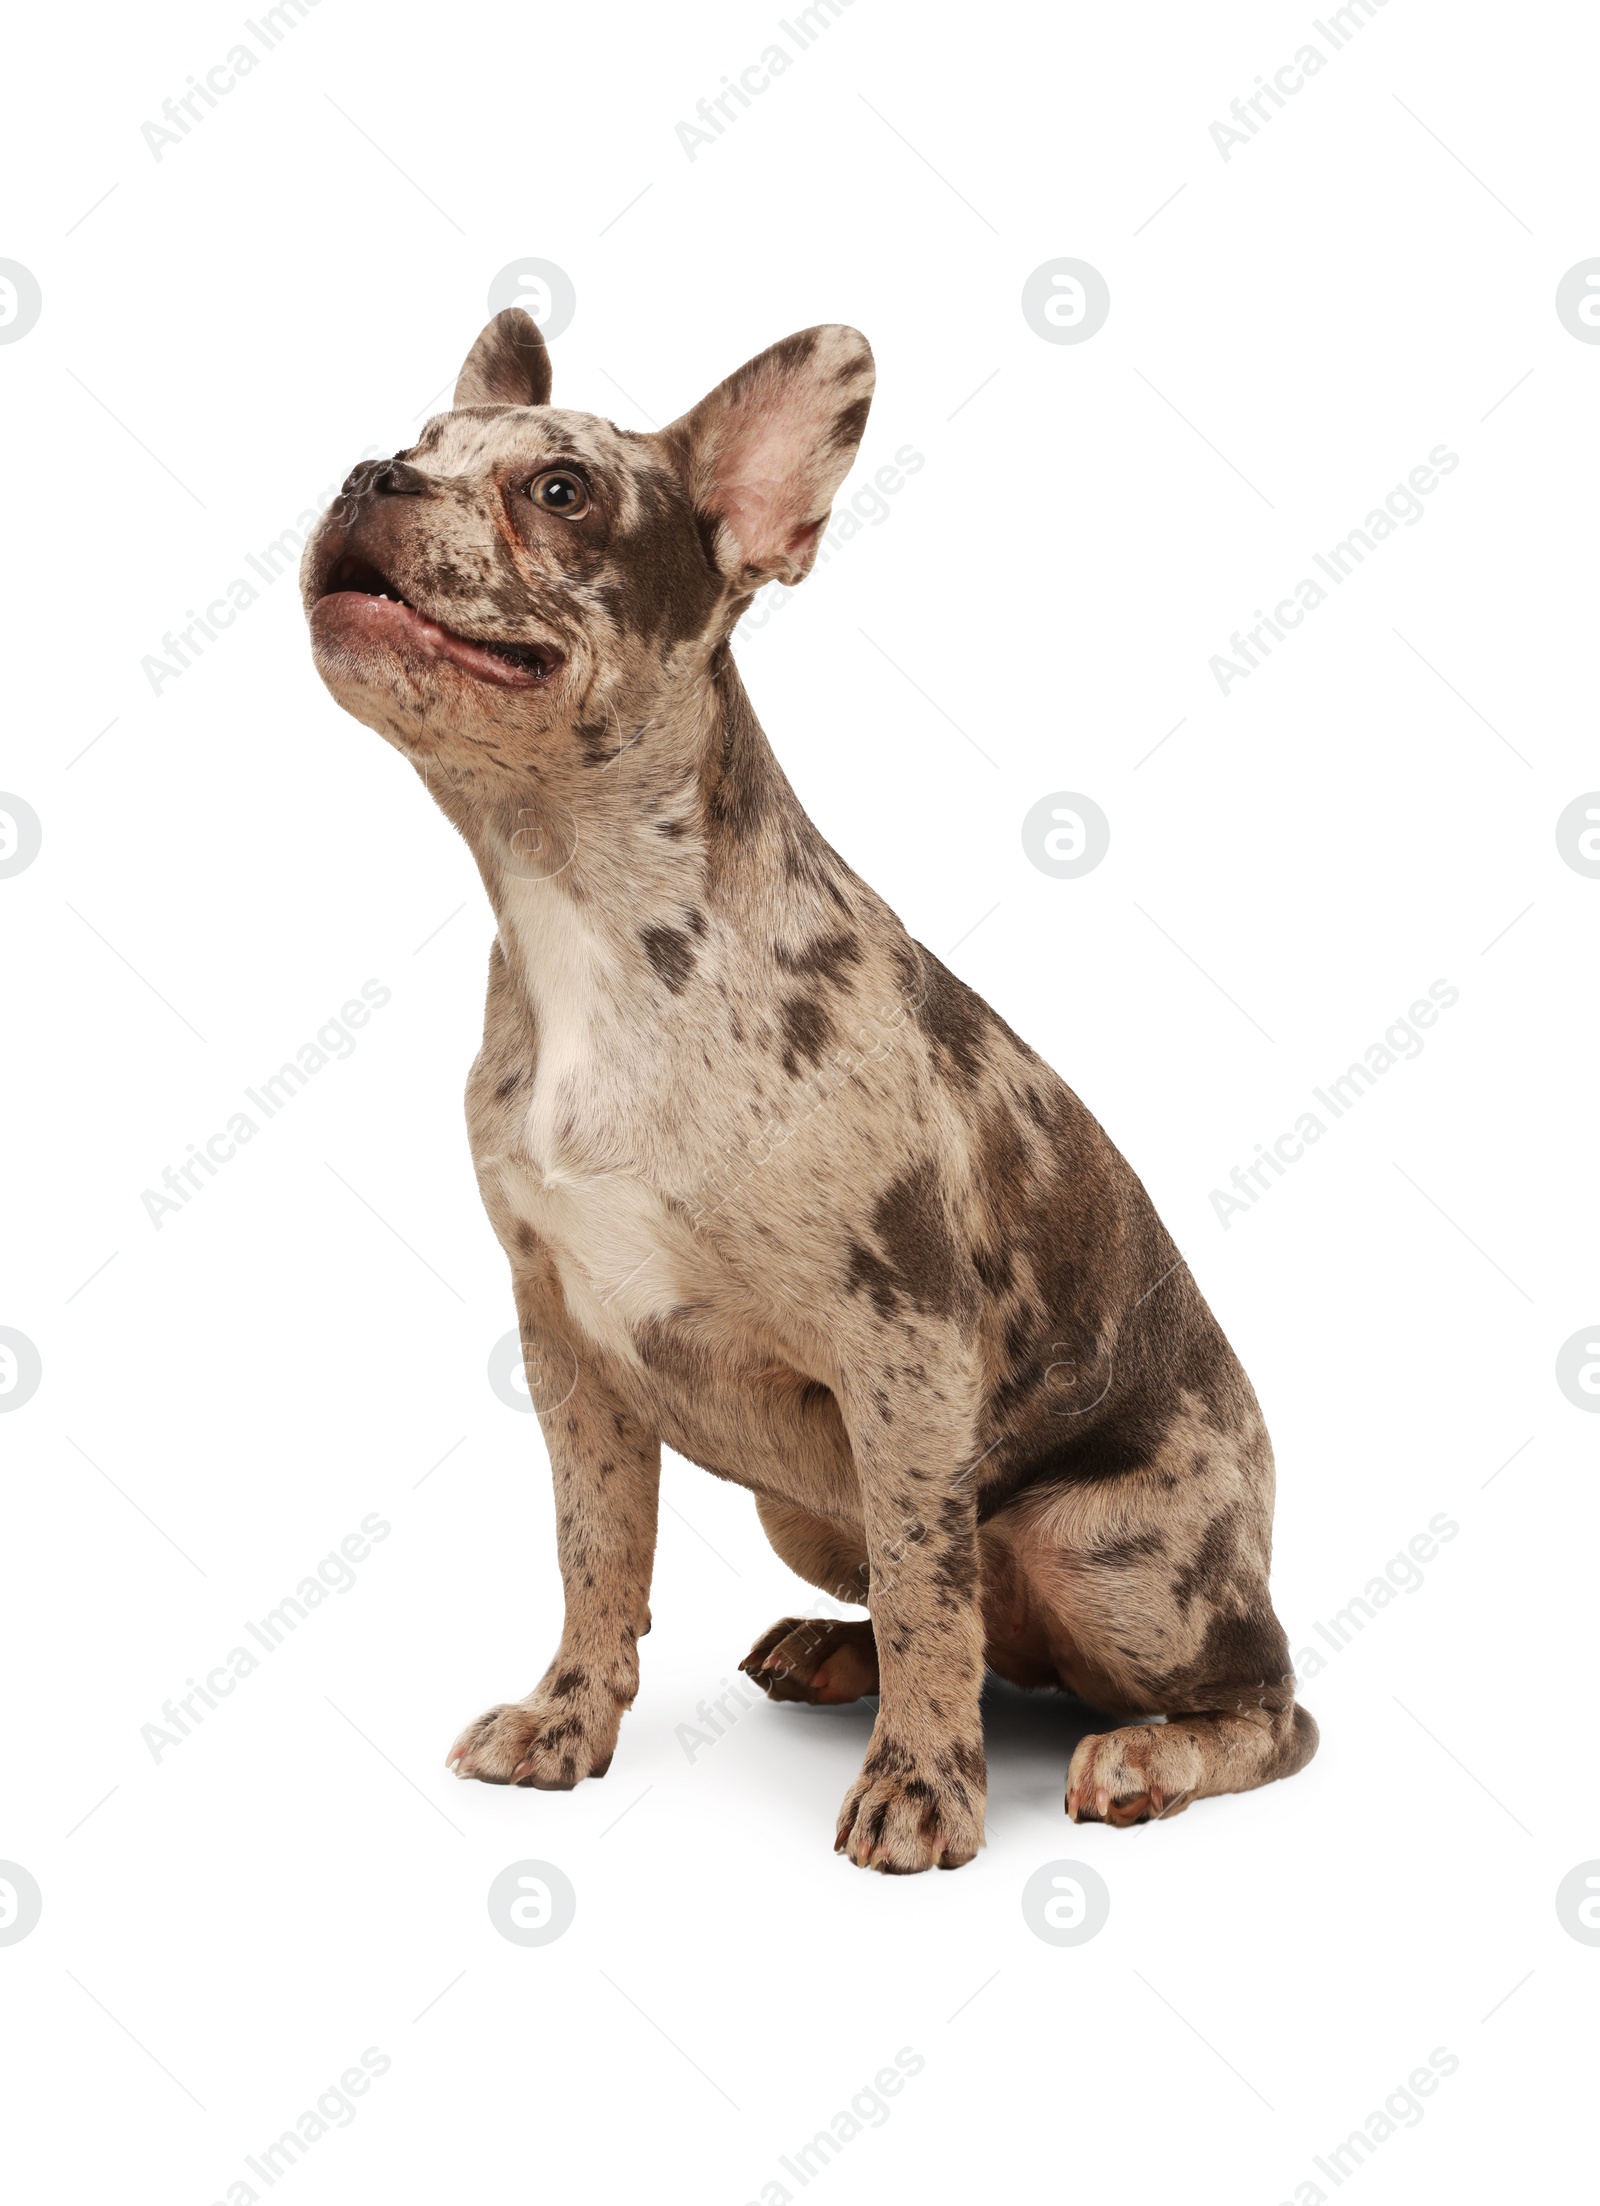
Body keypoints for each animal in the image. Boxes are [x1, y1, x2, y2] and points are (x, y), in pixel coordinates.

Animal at [295, 306, 1306, 1861]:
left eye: (560, 491)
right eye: (414, 445)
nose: (365, 476)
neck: (577, 897)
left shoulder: (905, 1345)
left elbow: (930, 1583)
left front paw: (924, 1787)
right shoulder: (566, 1343)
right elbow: (597, 1548)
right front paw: (569, 1719)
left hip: (1105, 1547)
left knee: (1248, 1696)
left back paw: (1142, 1752)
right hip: (806, 1511)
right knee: (959, 1623)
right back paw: (837, 1651)